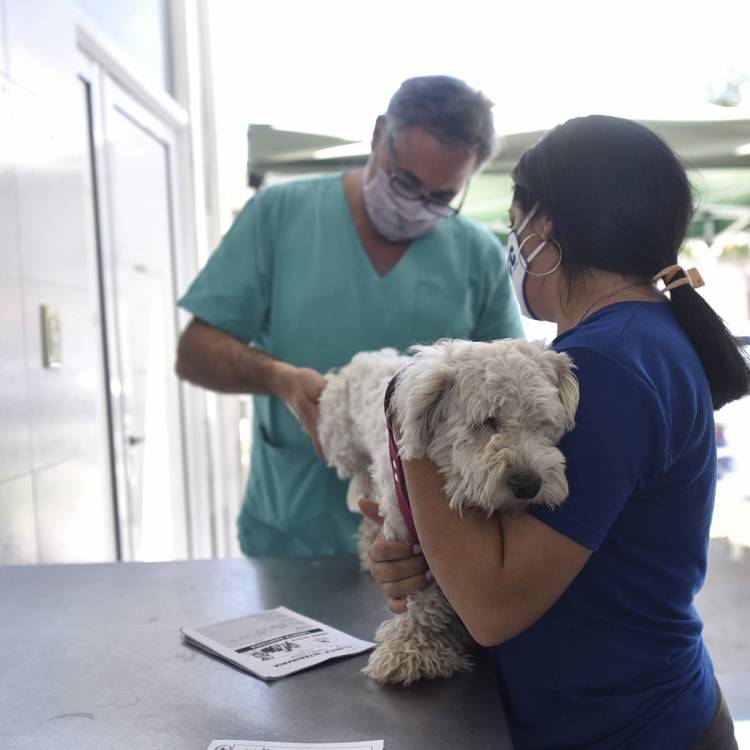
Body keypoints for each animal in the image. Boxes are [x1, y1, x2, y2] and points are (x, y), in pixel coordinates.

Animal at [318, 340, 580, 688]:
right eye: (487, 421)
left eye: (542, 422)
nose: (528, 484)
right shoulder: (406, 528)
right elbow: (421, 593)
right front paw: (413, 646)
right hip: (343, 444)